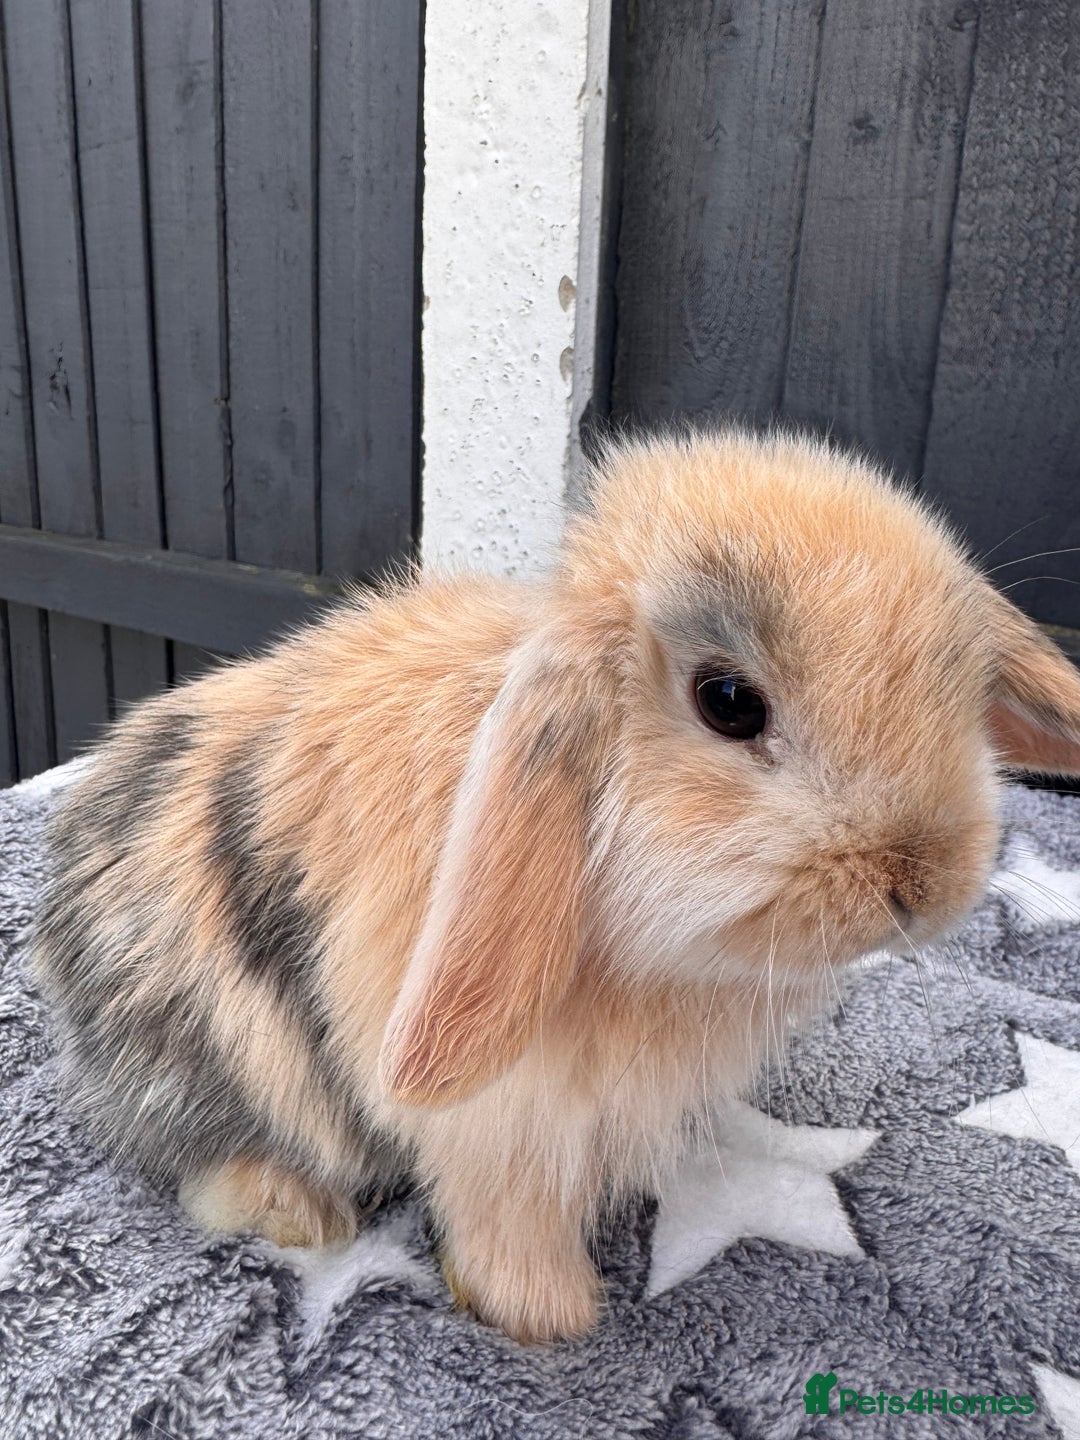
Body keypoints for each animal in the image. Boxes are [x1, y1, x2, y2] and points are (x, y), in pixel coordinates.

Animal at [32, 429, 1080, 1344]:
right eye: (729, 703)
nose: (923, 884)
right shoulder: (500, 1127)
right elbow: (508, 1219)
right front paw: (550, 1320)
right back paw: (300, 1214)